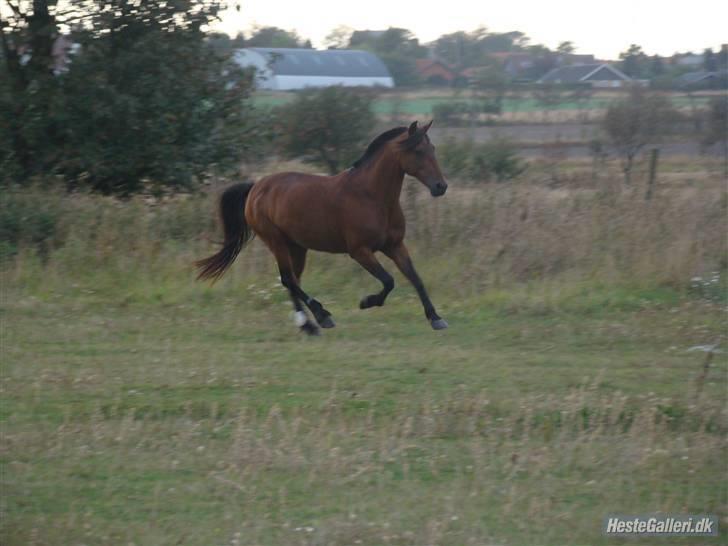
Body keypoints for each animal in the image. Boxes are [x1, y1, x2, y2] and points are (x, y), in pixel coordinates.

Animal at [196, 119, 452, 334]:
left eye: (433, 149)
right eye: (417, 151)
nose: (441, 187)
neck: (372, 197)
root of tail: (256, 187)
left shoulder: (395, 246)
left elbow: (415, 278)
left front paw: (435, 318)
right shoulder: (360, 251)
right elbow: (389, 280)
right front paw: (366, 302)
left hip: (297, 247)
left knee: (292, 281)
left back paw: (308, 324)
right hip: (276, 242)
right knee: (288, 279)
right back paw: (319, 317)